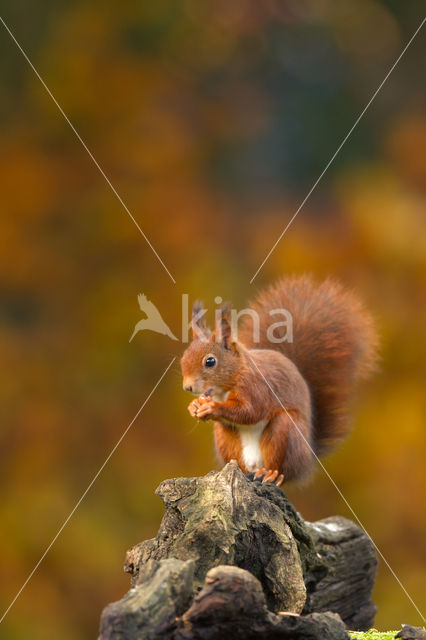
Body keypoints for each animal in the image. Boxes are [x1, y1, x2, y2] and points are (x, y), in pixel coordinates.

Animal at [180, 274, 376, 484]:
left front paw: (212, 407)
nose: (188, 387)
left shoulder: (256, 387)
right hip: (225, 438)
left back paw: (271, 473)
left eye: (210, 361)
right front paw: (193, 406)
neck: (229, 383)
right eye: (183, 357)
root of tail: (307, 459)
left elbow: (250, 411)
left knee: (282, 469)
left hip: (285, 431)